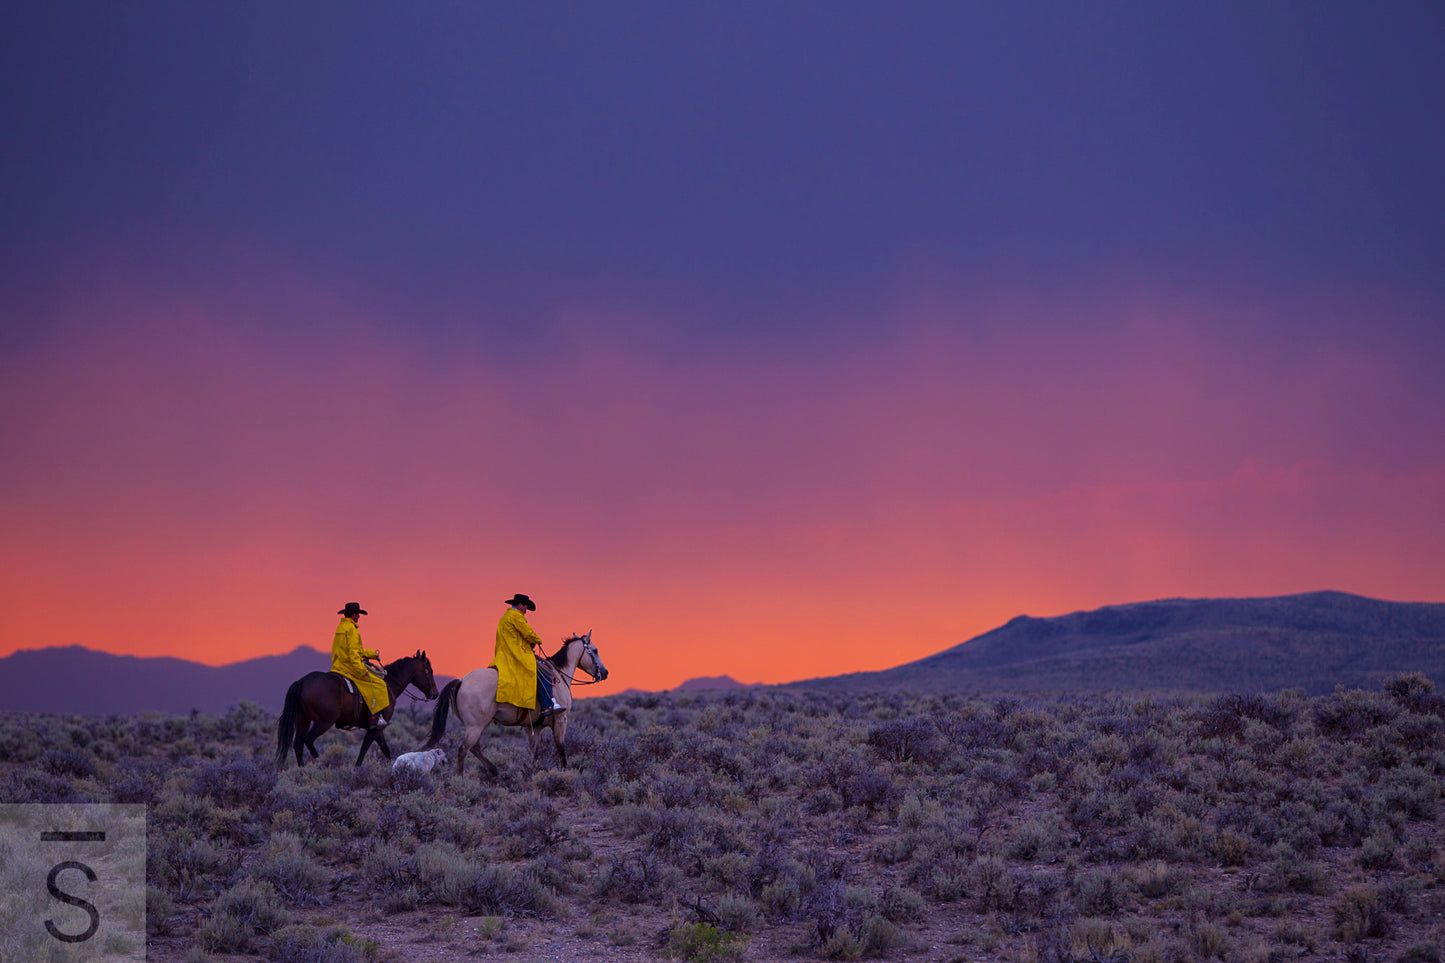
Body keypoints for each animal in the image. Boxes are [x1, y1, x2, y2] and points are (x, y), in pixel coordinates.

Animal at [274, 644, 433, 763]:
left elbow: (385, 750)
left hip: (303, 720)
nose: (435, 693)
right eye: (429, 671)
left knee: (298, 744)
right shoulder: (375, 728)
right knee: (308, 740)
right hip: (324, 722)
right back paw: (319, 762)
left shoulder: (378, 729)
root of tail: (301, 682)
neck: (389, 684)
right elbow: (364, 750)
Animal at [427, 630, 609, 775]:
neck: (558, 675)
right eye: (595, 650)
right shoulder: (561, 720)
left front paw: (533, 772)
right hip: (475, 726)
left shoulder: (534, 727)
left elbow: (535, 752)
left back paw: (494, 771)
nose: (605, 672)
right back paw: (461, 777)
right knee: (464, 749)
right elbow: (561, 748)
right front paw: (565, 772)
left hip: (478, 725)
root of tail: (462, 681)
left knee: (474, 748)